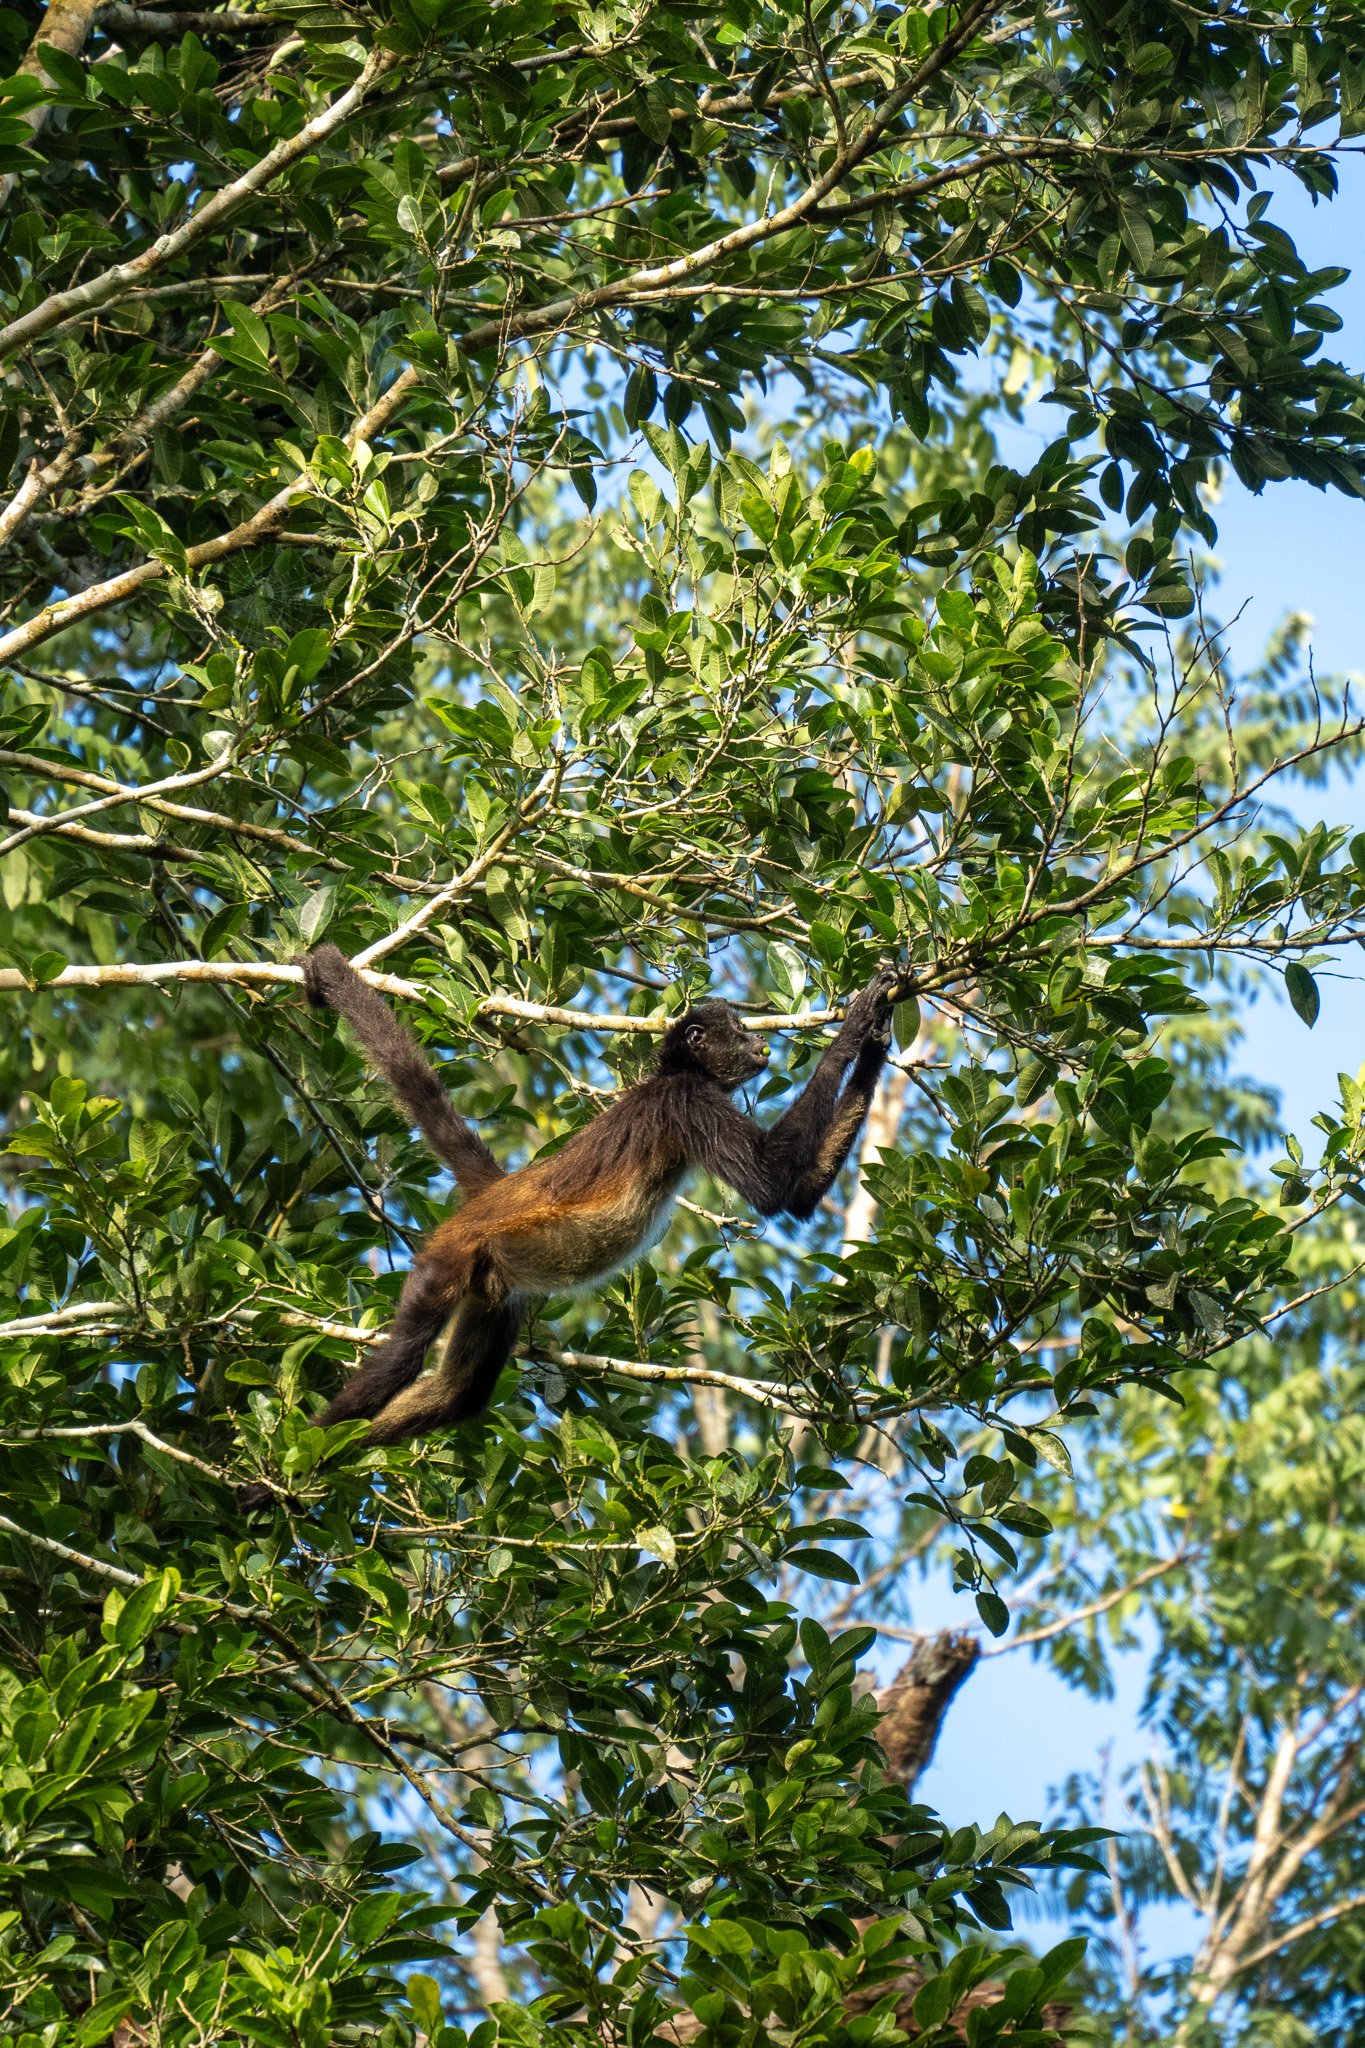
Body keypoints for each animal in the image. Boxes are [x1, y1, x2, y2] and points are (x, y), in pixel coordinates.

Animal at [240, 947, 902, 1505]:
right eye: (740, 1034)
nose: (762, 1050)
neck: (669, 1076)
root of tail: (495, 1195)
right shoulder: (686, 1101)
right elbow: (774, 1185)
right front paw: (861, 1019)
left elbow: (798, 1192)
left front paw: (879, 1036)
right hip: (449, 1260)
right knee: (403, 1358)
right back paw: (272, 1478)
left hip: (493, 1289)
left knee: (457, 1395)